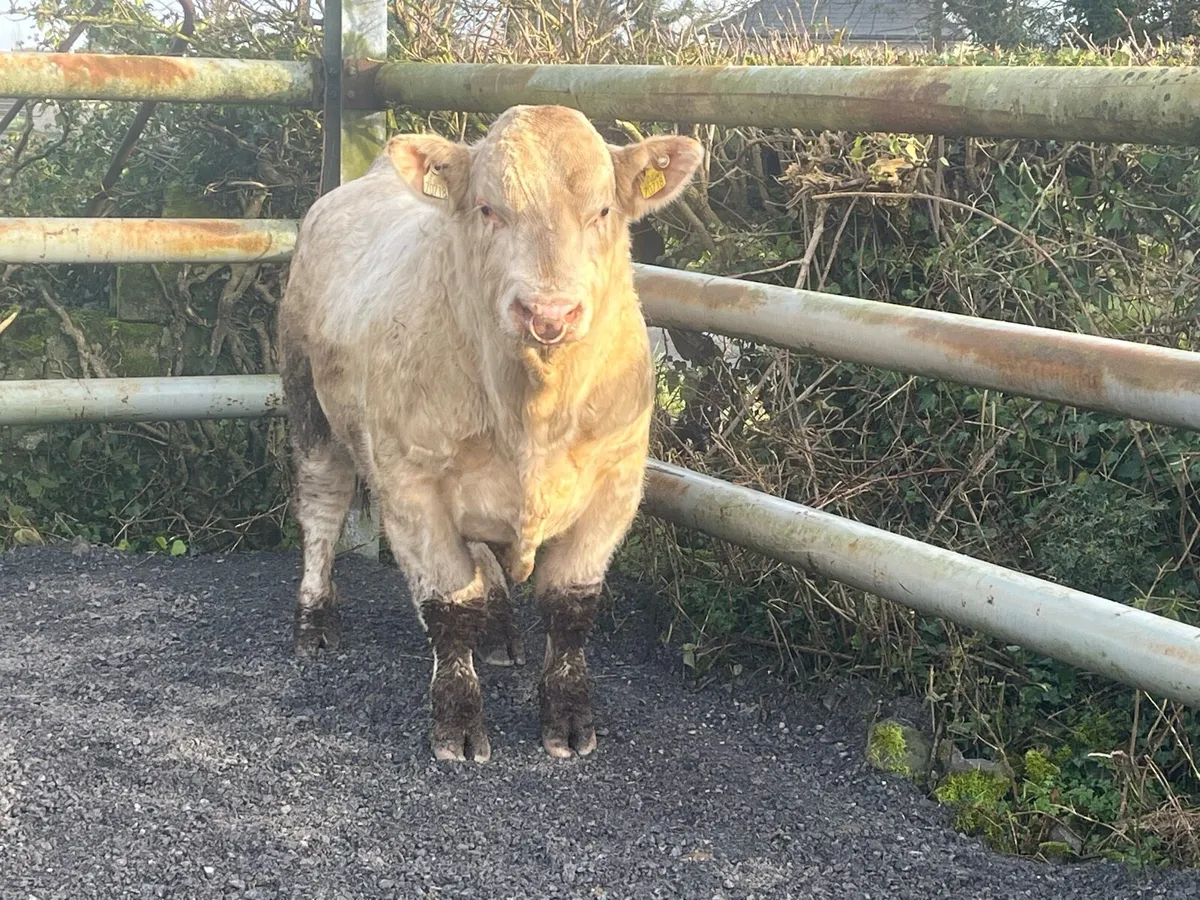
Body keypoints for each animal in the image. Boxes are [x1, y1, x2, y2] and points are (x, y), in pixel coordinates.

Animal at [278, 105, 703, 762]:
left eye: (603, 211)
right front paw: (456, 722)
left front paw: (569, 719)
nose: (548, 313)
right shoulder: (411, 484)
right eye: (487, 209)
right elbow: (450, 606)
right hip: (309, 405)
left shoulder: (616, 485)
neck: (531, 408)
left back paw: (501, 633)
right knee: (322, 510)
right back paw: (316, 622)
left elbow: (570, 607)